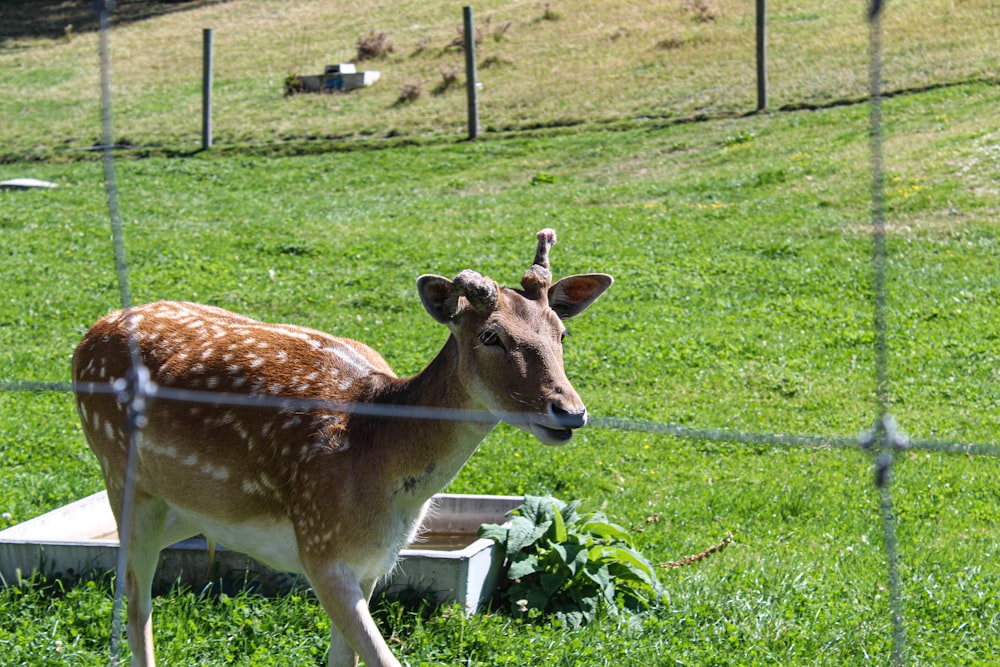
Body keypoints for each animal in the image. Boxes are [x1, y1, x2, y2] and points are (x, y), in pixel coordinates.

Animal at [70, 230, 608, 667]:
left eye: (562, 333)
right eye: (491, 335)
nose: (569, 411)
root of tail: (88, 335)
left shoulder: (374, 562)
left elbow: (343, 658)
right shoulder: (320, 548)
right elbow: (382, 659)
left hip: (183, 508)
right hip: (121, 477)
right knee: (136, 599)